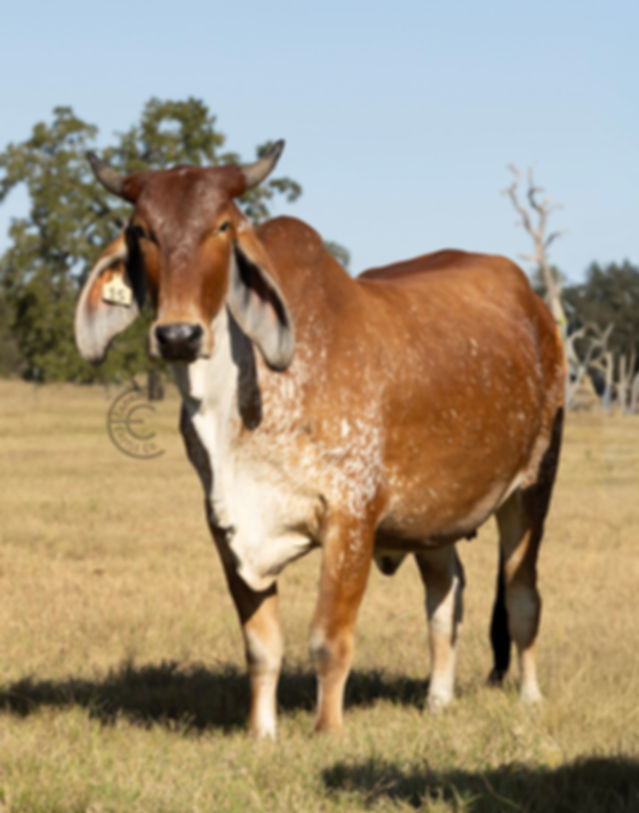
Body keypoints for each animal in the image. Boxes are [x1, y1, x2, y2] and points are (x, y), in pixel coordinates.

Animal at [74, 141, 564, 739]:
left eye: (222, 226)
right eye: (143, 230)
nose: (178, 335)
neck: (241, 403)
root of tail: (539, 310)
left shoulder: (351, 515)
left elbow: (329, 639)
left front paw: (327, 731)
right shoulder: (226, 525)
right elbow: (262, 646)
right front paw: (261, 734)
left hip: (533, 487)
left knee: (522, 595)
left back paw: (530, 698)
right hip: (434, 514)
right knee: (445, 595)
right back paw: (438, 700)